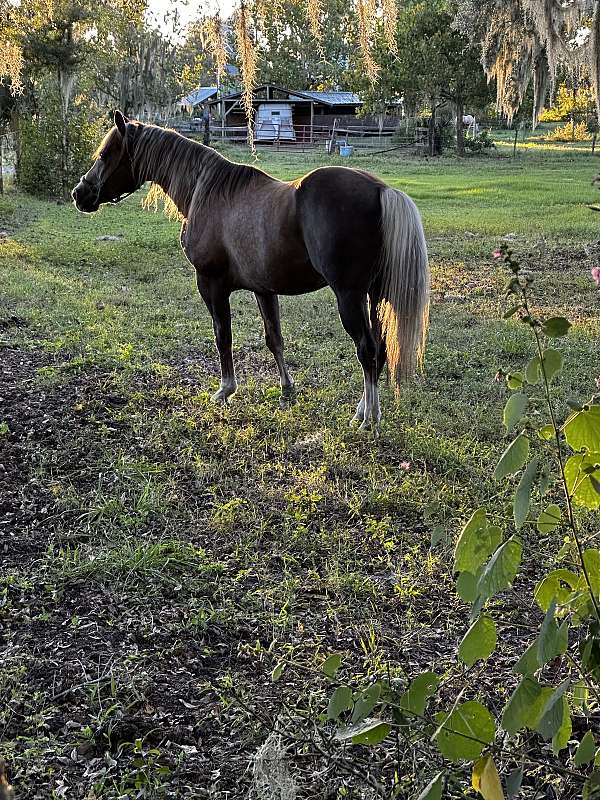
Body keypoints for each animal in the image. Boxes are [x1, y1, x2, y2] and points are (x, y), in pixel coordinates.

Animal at [72, 111, 432, 432]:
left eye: (105, 155)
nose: (80, 194)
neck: (206, 192)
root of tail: (382, 190)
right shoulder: (264, 289)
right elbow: (275, 339)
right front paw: (287, 391)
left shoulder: (212, 285)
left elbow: (223, 337)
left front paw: (225, 390)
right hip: (376, 296)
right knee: (380, 350)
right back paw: (361, 411)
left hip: (350, 296)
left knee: (367, 350)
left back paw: (370, 418)